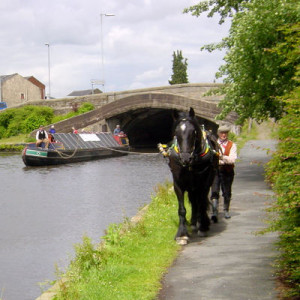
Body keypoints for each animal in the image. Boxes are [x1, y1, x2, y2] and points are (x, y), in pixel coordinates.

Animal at [166, 107, 218, 244]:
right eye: (176, 132)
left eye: (194, 132)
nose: (185, 158)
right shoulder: (178, 184)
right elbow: (182, 209)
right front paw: (182, 234)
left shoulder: (203, 184)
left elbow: (201, 203)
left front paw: (203, 227)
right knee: (194, 201)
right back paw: (194, 222)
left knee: (200, 202)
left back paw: (201, 223)